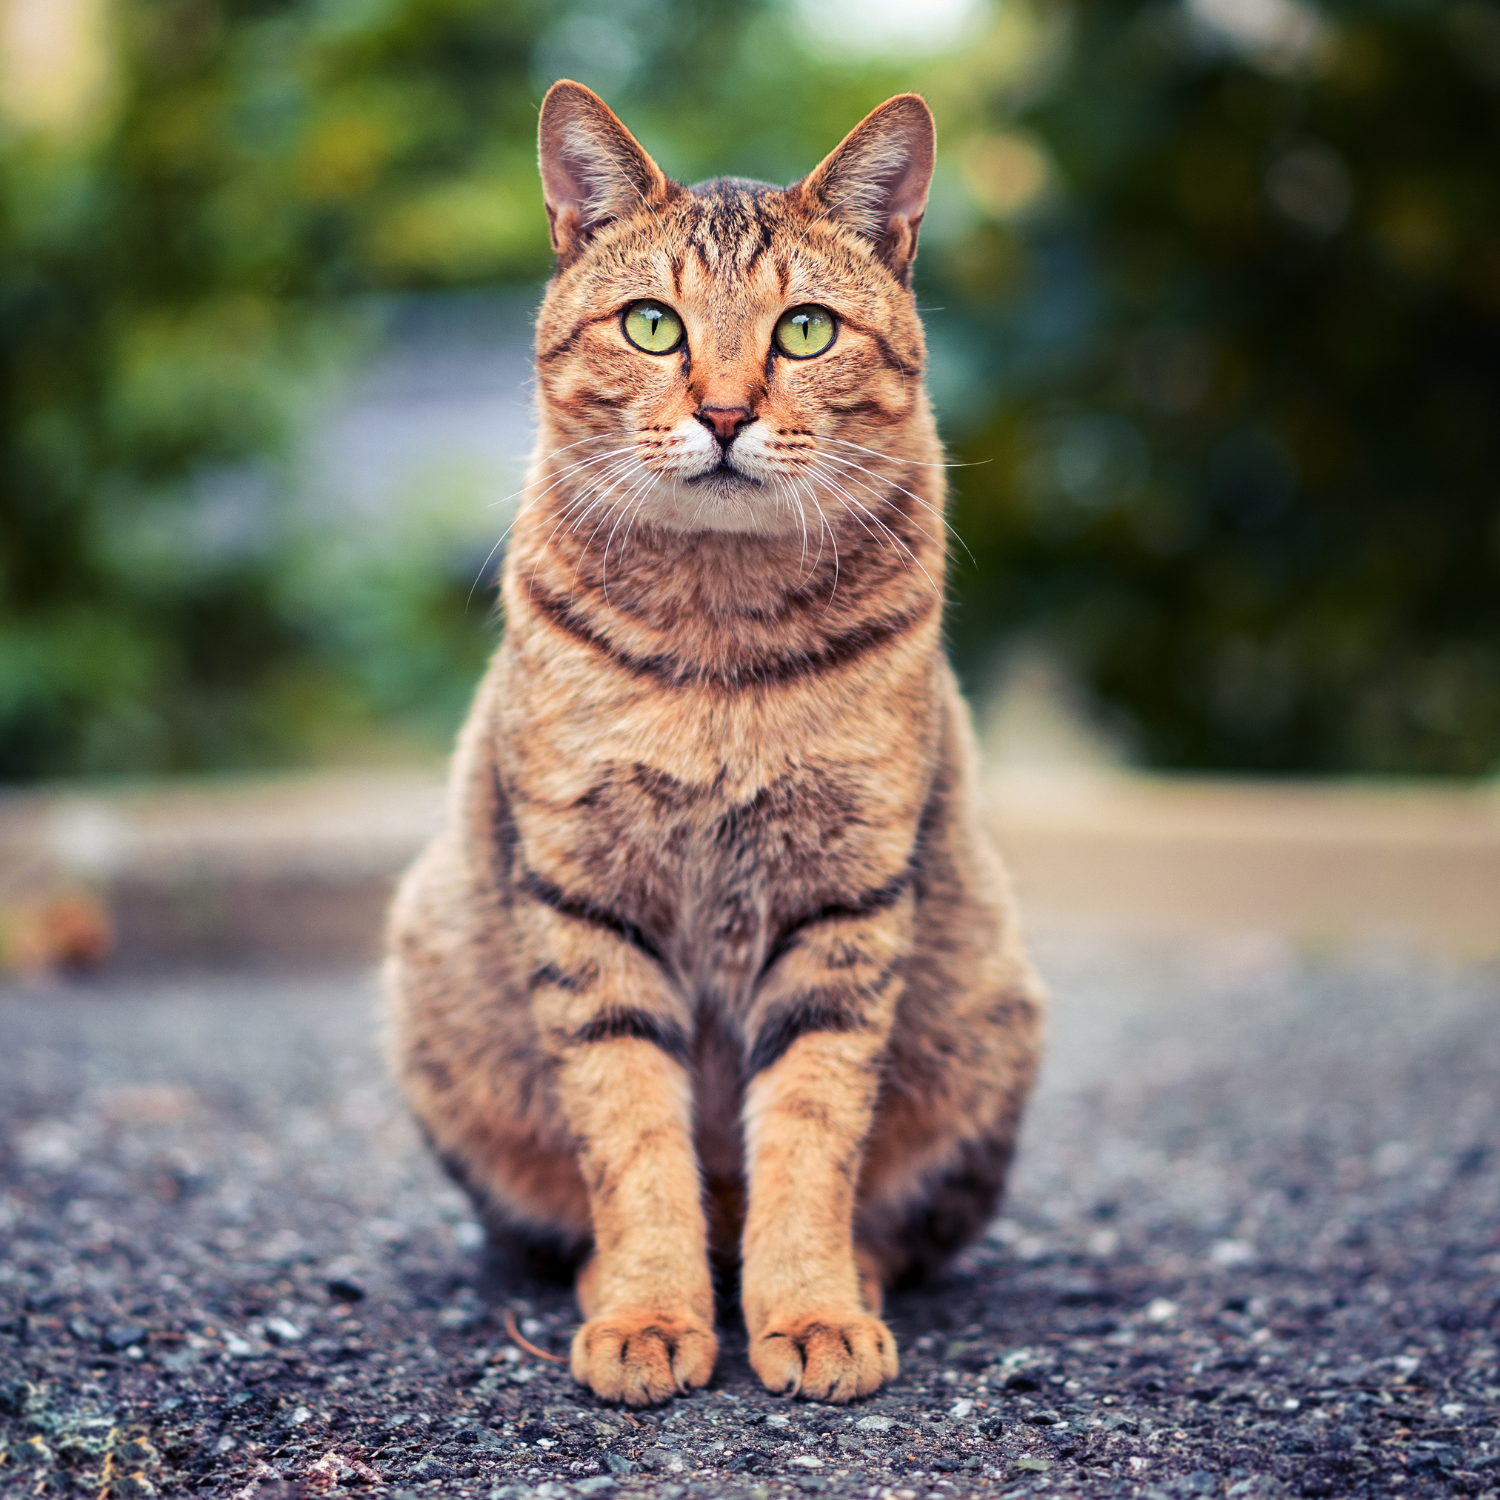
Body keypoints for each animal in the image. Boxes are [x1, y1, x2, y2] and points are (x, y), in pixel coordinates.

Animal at [387, 79, 1044, 1404]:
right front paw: (649, 1311)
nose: (727, 412)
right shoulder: (586, 902)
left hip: (988, 1016)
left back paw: (850, 1276)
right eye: (651, 326)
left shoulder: (844, 900)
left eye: (805, 330)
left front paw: (811, 1310)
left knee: (880, 1216)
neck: (720, 640)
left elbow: (809, 1133)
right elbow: (632, 1137)